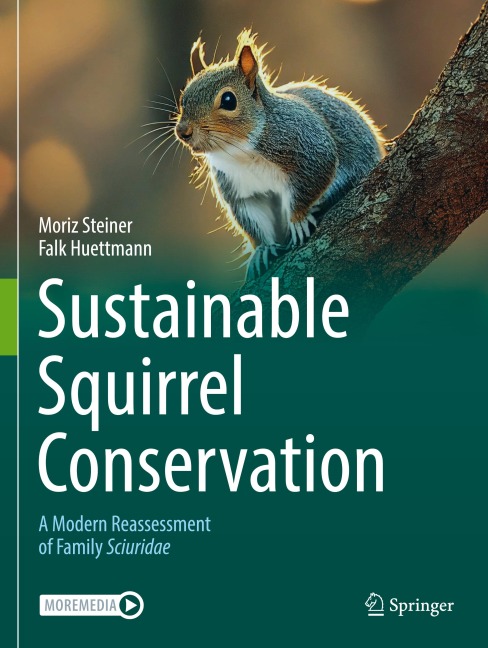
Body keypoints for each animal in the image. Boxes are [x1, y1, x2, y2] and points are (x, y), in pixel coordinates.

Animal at [175, 30, 385, 279]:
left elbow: (315, 177)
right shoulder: (241, 189)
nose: (183, 131)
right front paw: (262, 250)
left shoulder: (308, 146)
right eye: (184, 97)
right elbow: (253, 218)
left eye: (228, 100)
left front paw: (298, 220)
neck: (240, 153)